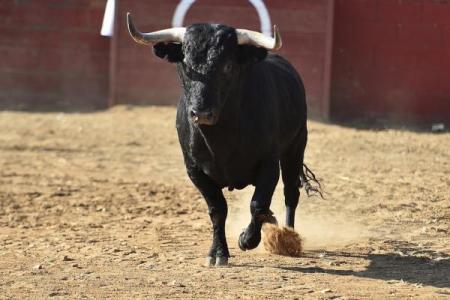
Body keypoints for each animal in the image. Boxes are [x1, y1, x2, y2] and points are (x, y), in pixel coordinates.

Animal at [128, 21, 322, 266]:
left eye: (228, 66)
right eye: (185, 64)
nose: (201, 113)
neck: (221, 138)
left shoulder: (269, 165)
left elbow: (258, 204)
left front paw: (247, 239)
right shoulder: (194, 169)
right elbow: (218, 209)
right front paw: (218, 253)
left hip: (295, 148)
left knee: (291, 192)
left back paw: (287, 235)